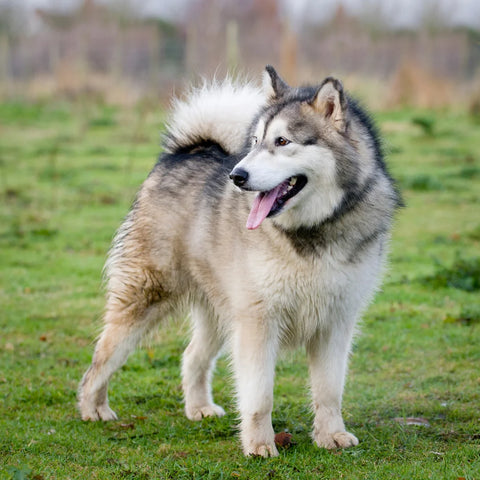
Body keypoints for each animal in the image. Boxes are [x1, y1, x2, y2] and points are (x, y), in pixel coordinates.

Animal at [79, 65, 402, 456]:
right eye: (255, 142)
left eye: (282, 142)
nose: (237, 176)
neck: (311, 232)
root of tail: (183, 152)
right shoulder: (258, 322)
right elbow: (259, 395)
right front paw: (260, 444)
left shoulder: (335, 321)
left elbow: (329, 391)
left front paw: (331, 435)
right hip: (148, 296)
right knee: (102, 356)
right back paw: (93, 407)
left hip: (221, 311)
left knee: (192, 356)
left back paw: (198, 408)